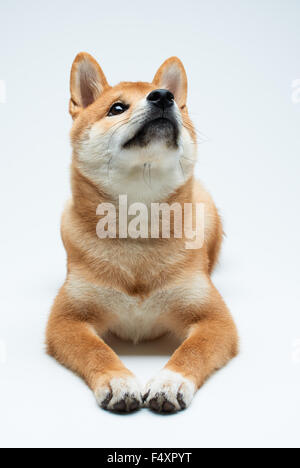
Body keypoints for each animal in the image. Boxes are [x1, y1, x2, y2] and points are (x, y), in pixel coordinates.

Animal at [45, 53, 238, 414]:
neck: (138, 232)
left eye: (170, 97)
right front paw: (117, 381)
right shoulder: (67, 319)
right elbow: (97, 350)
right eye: (117, 108)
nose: (164, 97)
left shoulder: (214, 319)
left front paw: (170, 382)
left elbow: (191, 351)